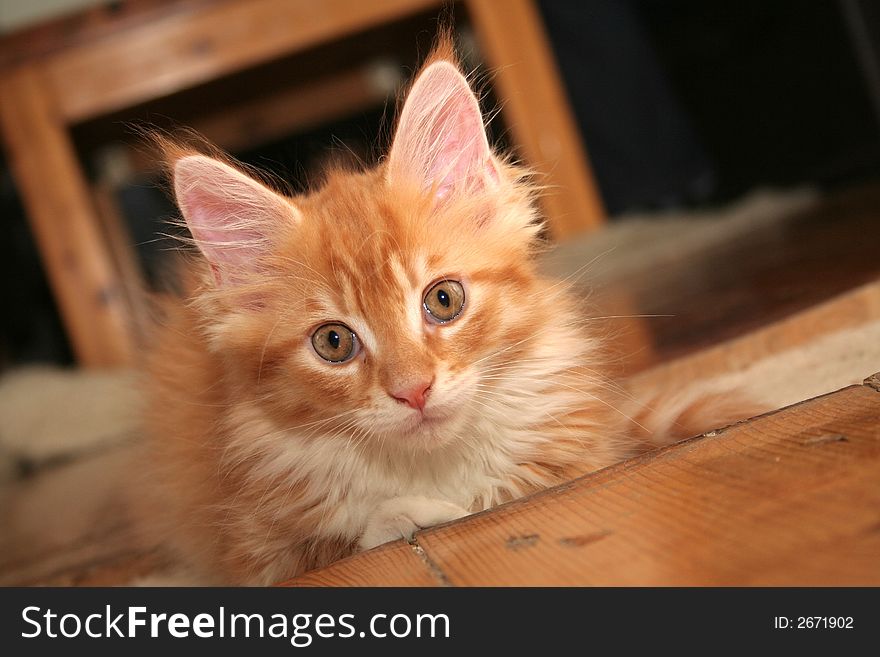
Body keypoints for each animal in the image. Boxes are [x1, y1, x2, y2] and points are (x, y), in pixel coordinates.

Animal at [143, 42, 720, 584]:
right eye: (334, 343)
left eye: (444, 300)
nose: (414, 391)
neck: (437, 467)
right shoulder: (252, 546)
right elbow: (341, 544)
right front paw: (409, 516)